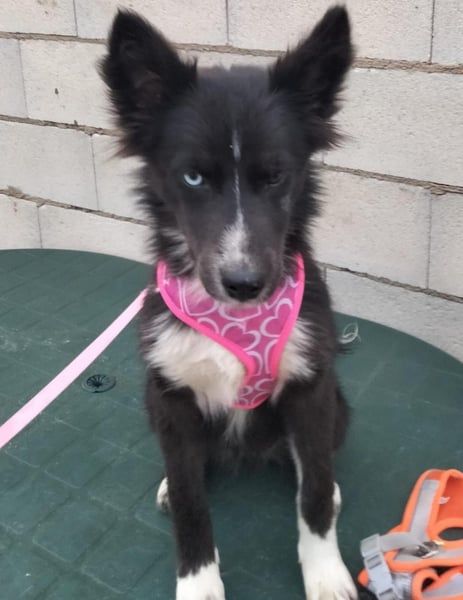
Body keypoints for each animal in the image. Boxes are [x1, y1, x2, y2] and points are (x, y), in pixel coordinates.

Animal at [101, 6, 356, 599]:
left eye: (277, 175)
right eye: (193, 176)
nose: (245, 283)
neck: (236, 318)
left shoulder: (310, 386)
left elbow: (312, 490)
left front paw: (326, 573)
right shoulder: (171, 395)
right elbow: (191, 502)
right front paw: (198, 582)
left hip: (336, 401)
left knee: (312, 464)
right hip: (153, 399)